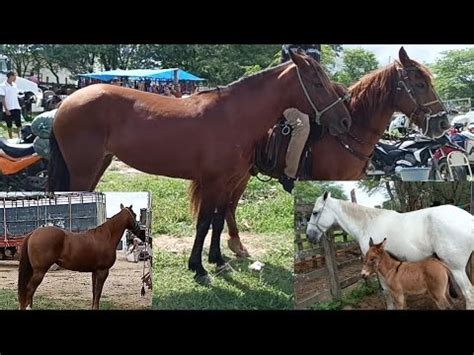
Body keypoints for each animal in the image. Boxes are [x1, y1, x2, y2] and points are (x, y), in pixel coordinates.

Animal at [48, 50, 352, 284]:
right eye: (317, 82)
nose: (345, 121)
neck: (233, 117)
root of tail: (67, 102)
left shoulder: (228, 181)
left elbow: (218, 220)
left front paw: (218, 261)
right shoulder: (213, 181)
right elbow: (204, 222)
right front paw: (199, 268)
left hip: (98, 165)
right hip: (84, 169)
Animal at [224, 47, 450, 258]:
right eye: (420, 84)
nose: (443, 123)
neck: (350, 131)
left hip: (241, 175)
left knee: (229, 205)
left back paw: (236, 245)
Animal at [306, 193, 472, 310]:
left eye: (315, 212)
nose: (309, 236)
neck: (366, 224)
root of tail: (469, 218)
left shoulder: (377, 267)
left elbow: (385, 291)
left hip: (456, 269)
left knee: (469, 294)